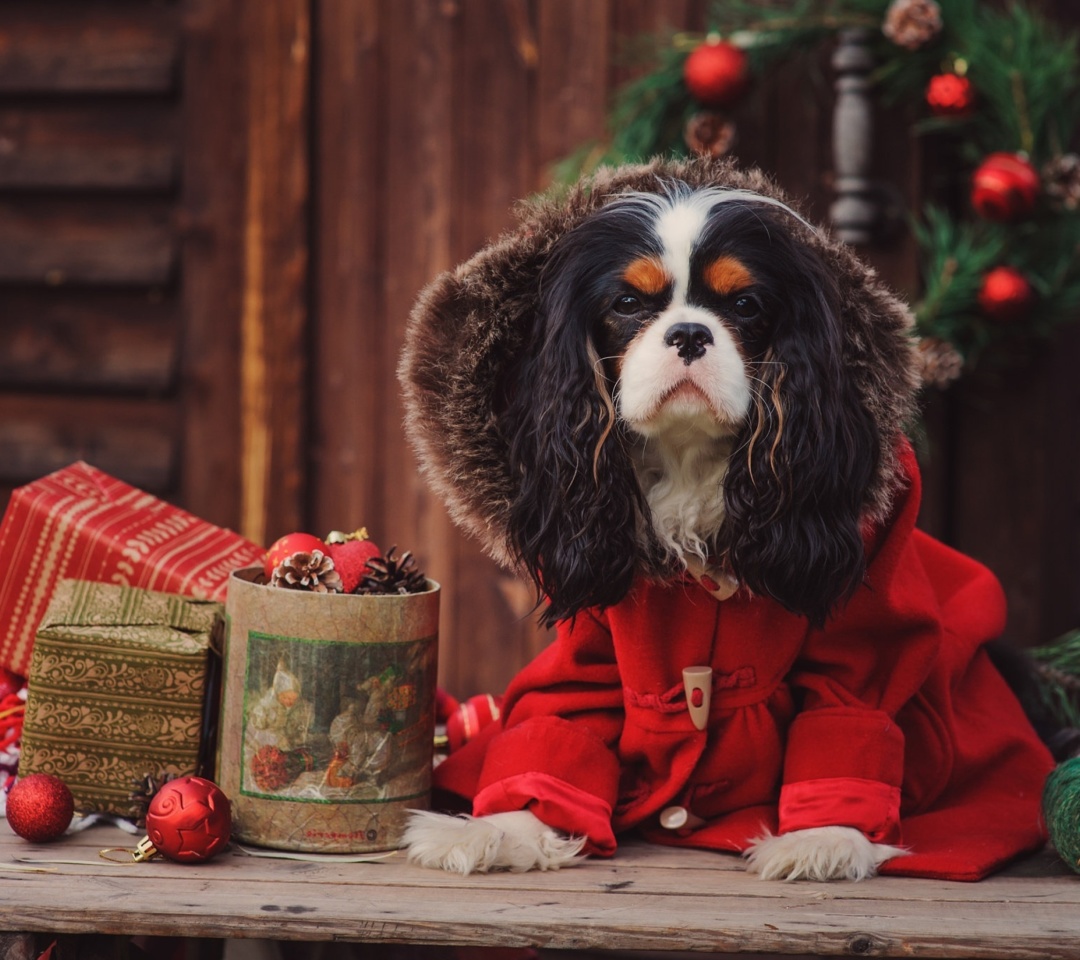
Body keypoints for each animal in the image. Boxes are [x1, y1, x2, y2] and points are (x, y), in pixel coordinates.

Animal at [397, 158, 1054, 885]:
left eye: (744, 306)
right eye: (627, 304)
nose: (689, 334)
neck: (691, 459)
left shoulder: (867, 629)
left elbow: (849, 709)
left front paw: (824, 836)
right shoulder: (593, 641)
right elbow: (561, 717)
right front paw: (506, 827)